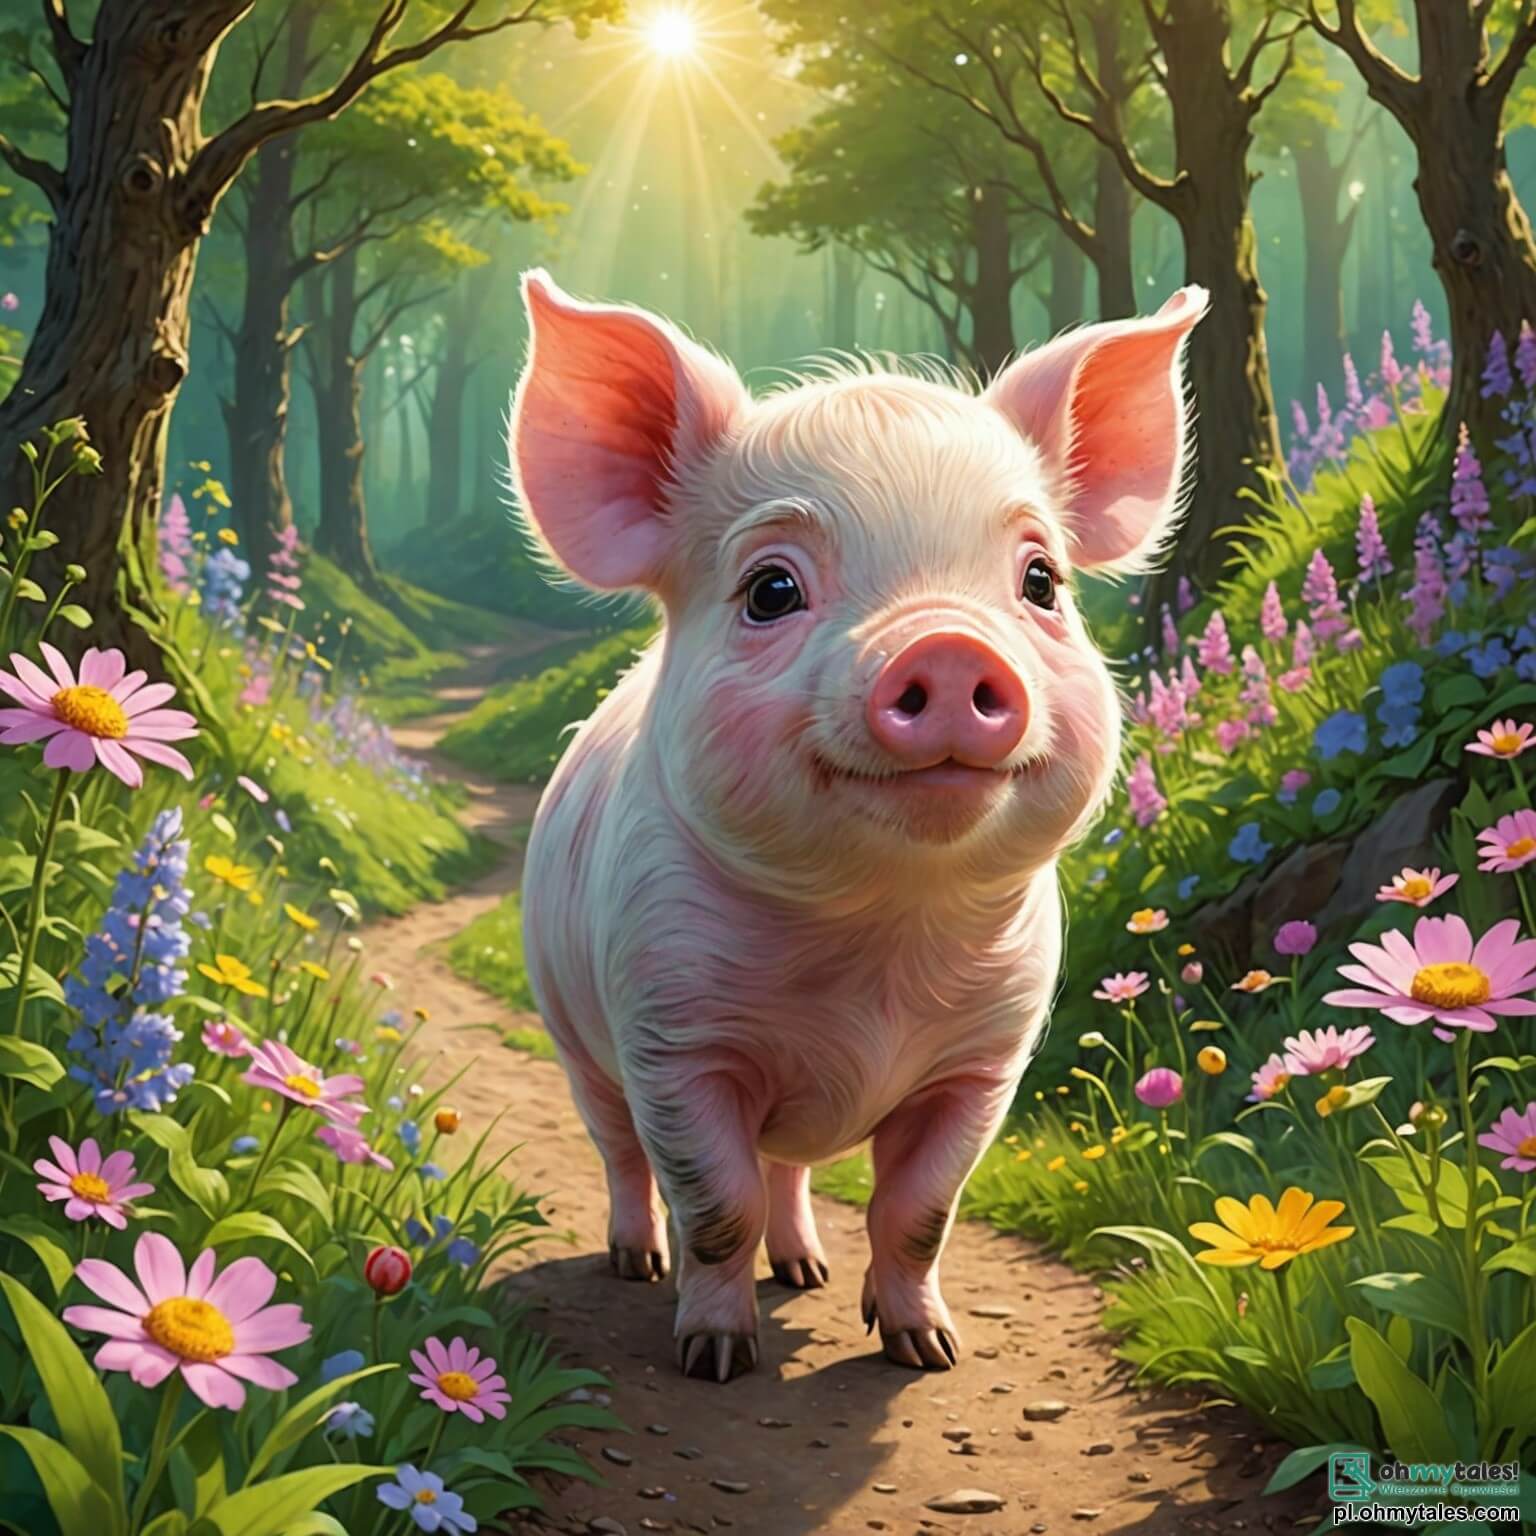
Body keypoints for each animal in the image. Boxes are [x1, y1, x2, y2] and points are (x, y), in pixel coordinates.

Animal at [511, 270, 1207, 1382]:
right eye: (771, 589)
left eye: (1040, 581)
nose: (950, 646)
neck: (879, 943)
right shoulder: (669, 1037)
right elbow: (714, 1203)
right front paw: (716, 1360)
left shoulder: (986, 1059)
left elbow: (920, 1211)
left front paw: (927, 1352)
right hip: (573, 1032)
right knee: (627, 1159)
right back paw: (637, 1263)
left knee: (788, 1172)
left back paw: (808, 1273)